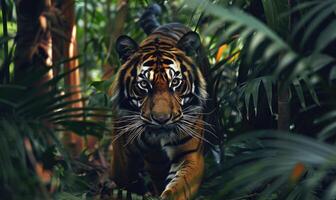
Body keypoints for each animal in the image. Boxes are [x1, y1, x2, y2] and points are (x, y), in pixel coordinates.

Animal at [107, 3, 213, 200]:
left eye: (175, 82)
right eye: (143, 84)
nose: (162, 119)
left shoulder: (190, 157)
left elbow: (176, 190)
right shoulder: (122, 161)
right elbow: (126, 183)